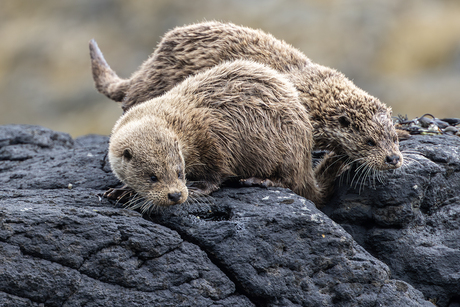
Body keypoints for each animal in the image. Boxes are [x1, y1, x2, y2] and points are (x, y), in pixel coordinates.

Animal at [109, 58, 336, 211]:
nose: (175, 195)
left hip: (289, 148)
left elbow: (217, 171)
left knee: (291, 181)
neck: (186, 124)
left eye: (179, 172)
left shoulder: (214, 139)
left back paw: (260, 180)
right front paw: (123, 190)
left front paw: (200, 188)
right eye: (152, 177)